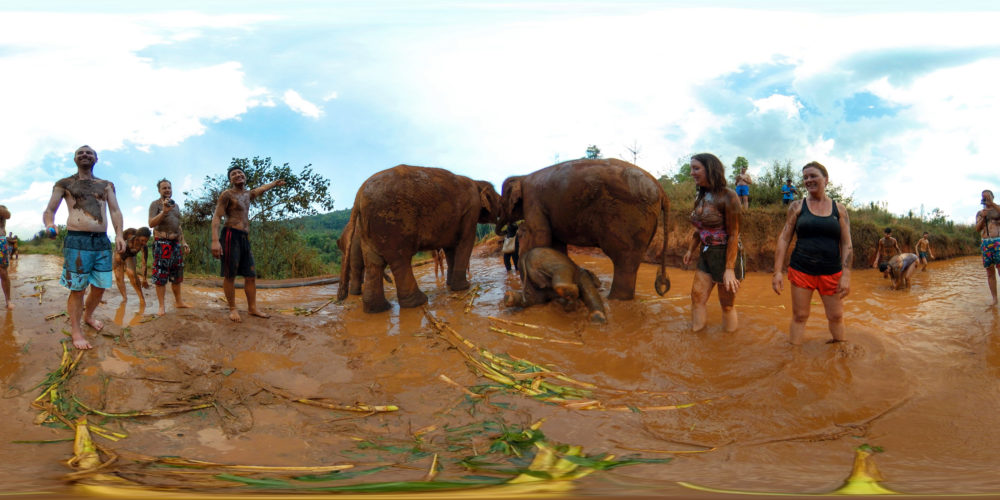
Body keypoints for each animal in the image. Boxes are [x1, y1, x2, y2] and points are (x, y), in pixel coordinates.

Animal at [339, 165, 501, 313]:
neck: (477, 182)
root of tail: (359, 195)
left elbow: (450, 248)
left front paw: (450, 285)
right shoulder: (471, 210)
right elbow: (465, 242)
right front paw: (463, 288)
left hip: (369, 227)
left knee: (374, 263)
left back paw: (378, 309)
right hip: (393, 222)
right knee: (400, 259)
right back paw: (418, 302)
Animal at [495, 158, 670, 300]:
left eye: (502, 202)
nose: (508, 230)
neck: (522, 176)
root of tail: (662, 190)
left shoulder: (533, 201)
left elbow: (541, 236)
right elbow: (557, 244)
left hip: (630, 218)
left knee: (624, 259)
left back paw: (613, 300)